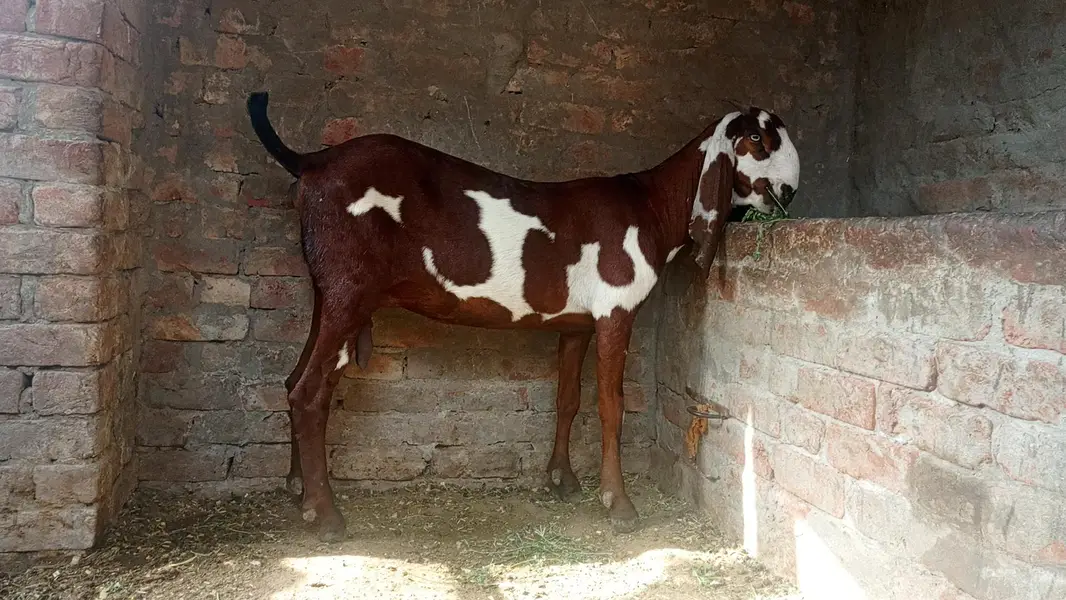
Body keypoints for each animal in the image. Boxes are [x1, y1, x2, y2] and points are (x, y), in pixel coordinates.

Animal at [246, 92, 800, 541]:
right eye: (756, 138)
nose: (790, 192)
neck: (651, 206)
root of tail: (315, 160)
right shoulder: (615, 311)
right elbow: (611, 406)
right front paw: (619, 505)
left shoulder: (576, 324)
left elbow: (568, 398)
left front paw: (562, 479)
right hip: (348, 289)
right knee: (310, 390)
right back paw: (325, 516)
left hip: (328, 292)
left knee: (296, 380)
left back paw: (299, 490)